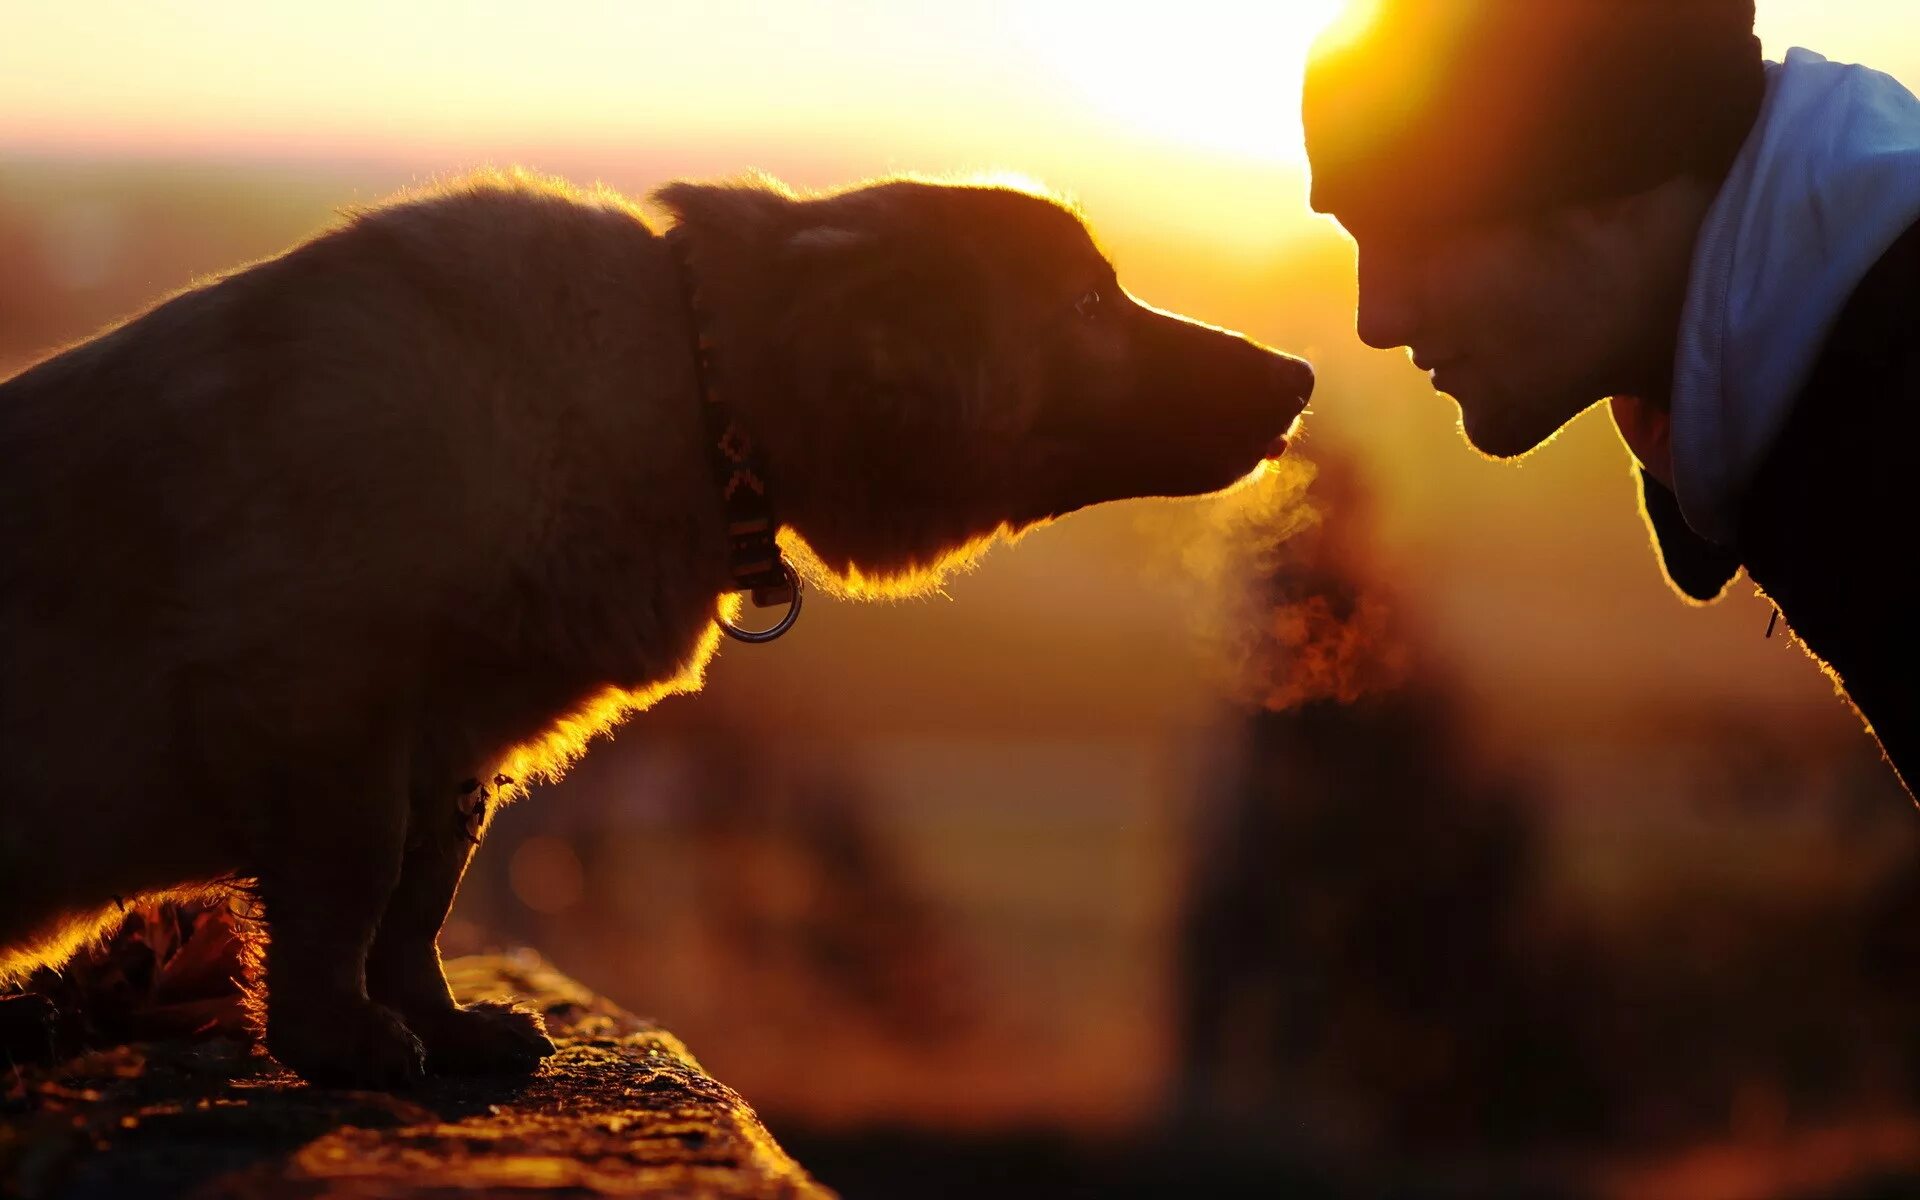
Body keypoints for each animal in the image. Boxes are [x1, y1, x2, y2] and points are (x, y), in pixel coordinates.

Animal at [0, 168, 1305, 1082]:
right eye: (1086, 302)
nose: (1298, 375)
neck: (694, 388)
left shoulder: (454, 748)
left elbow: (420, 900)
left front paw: (439, 1024)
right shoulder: (325, 698)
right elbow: (359, 882)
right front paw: (340, 1042)